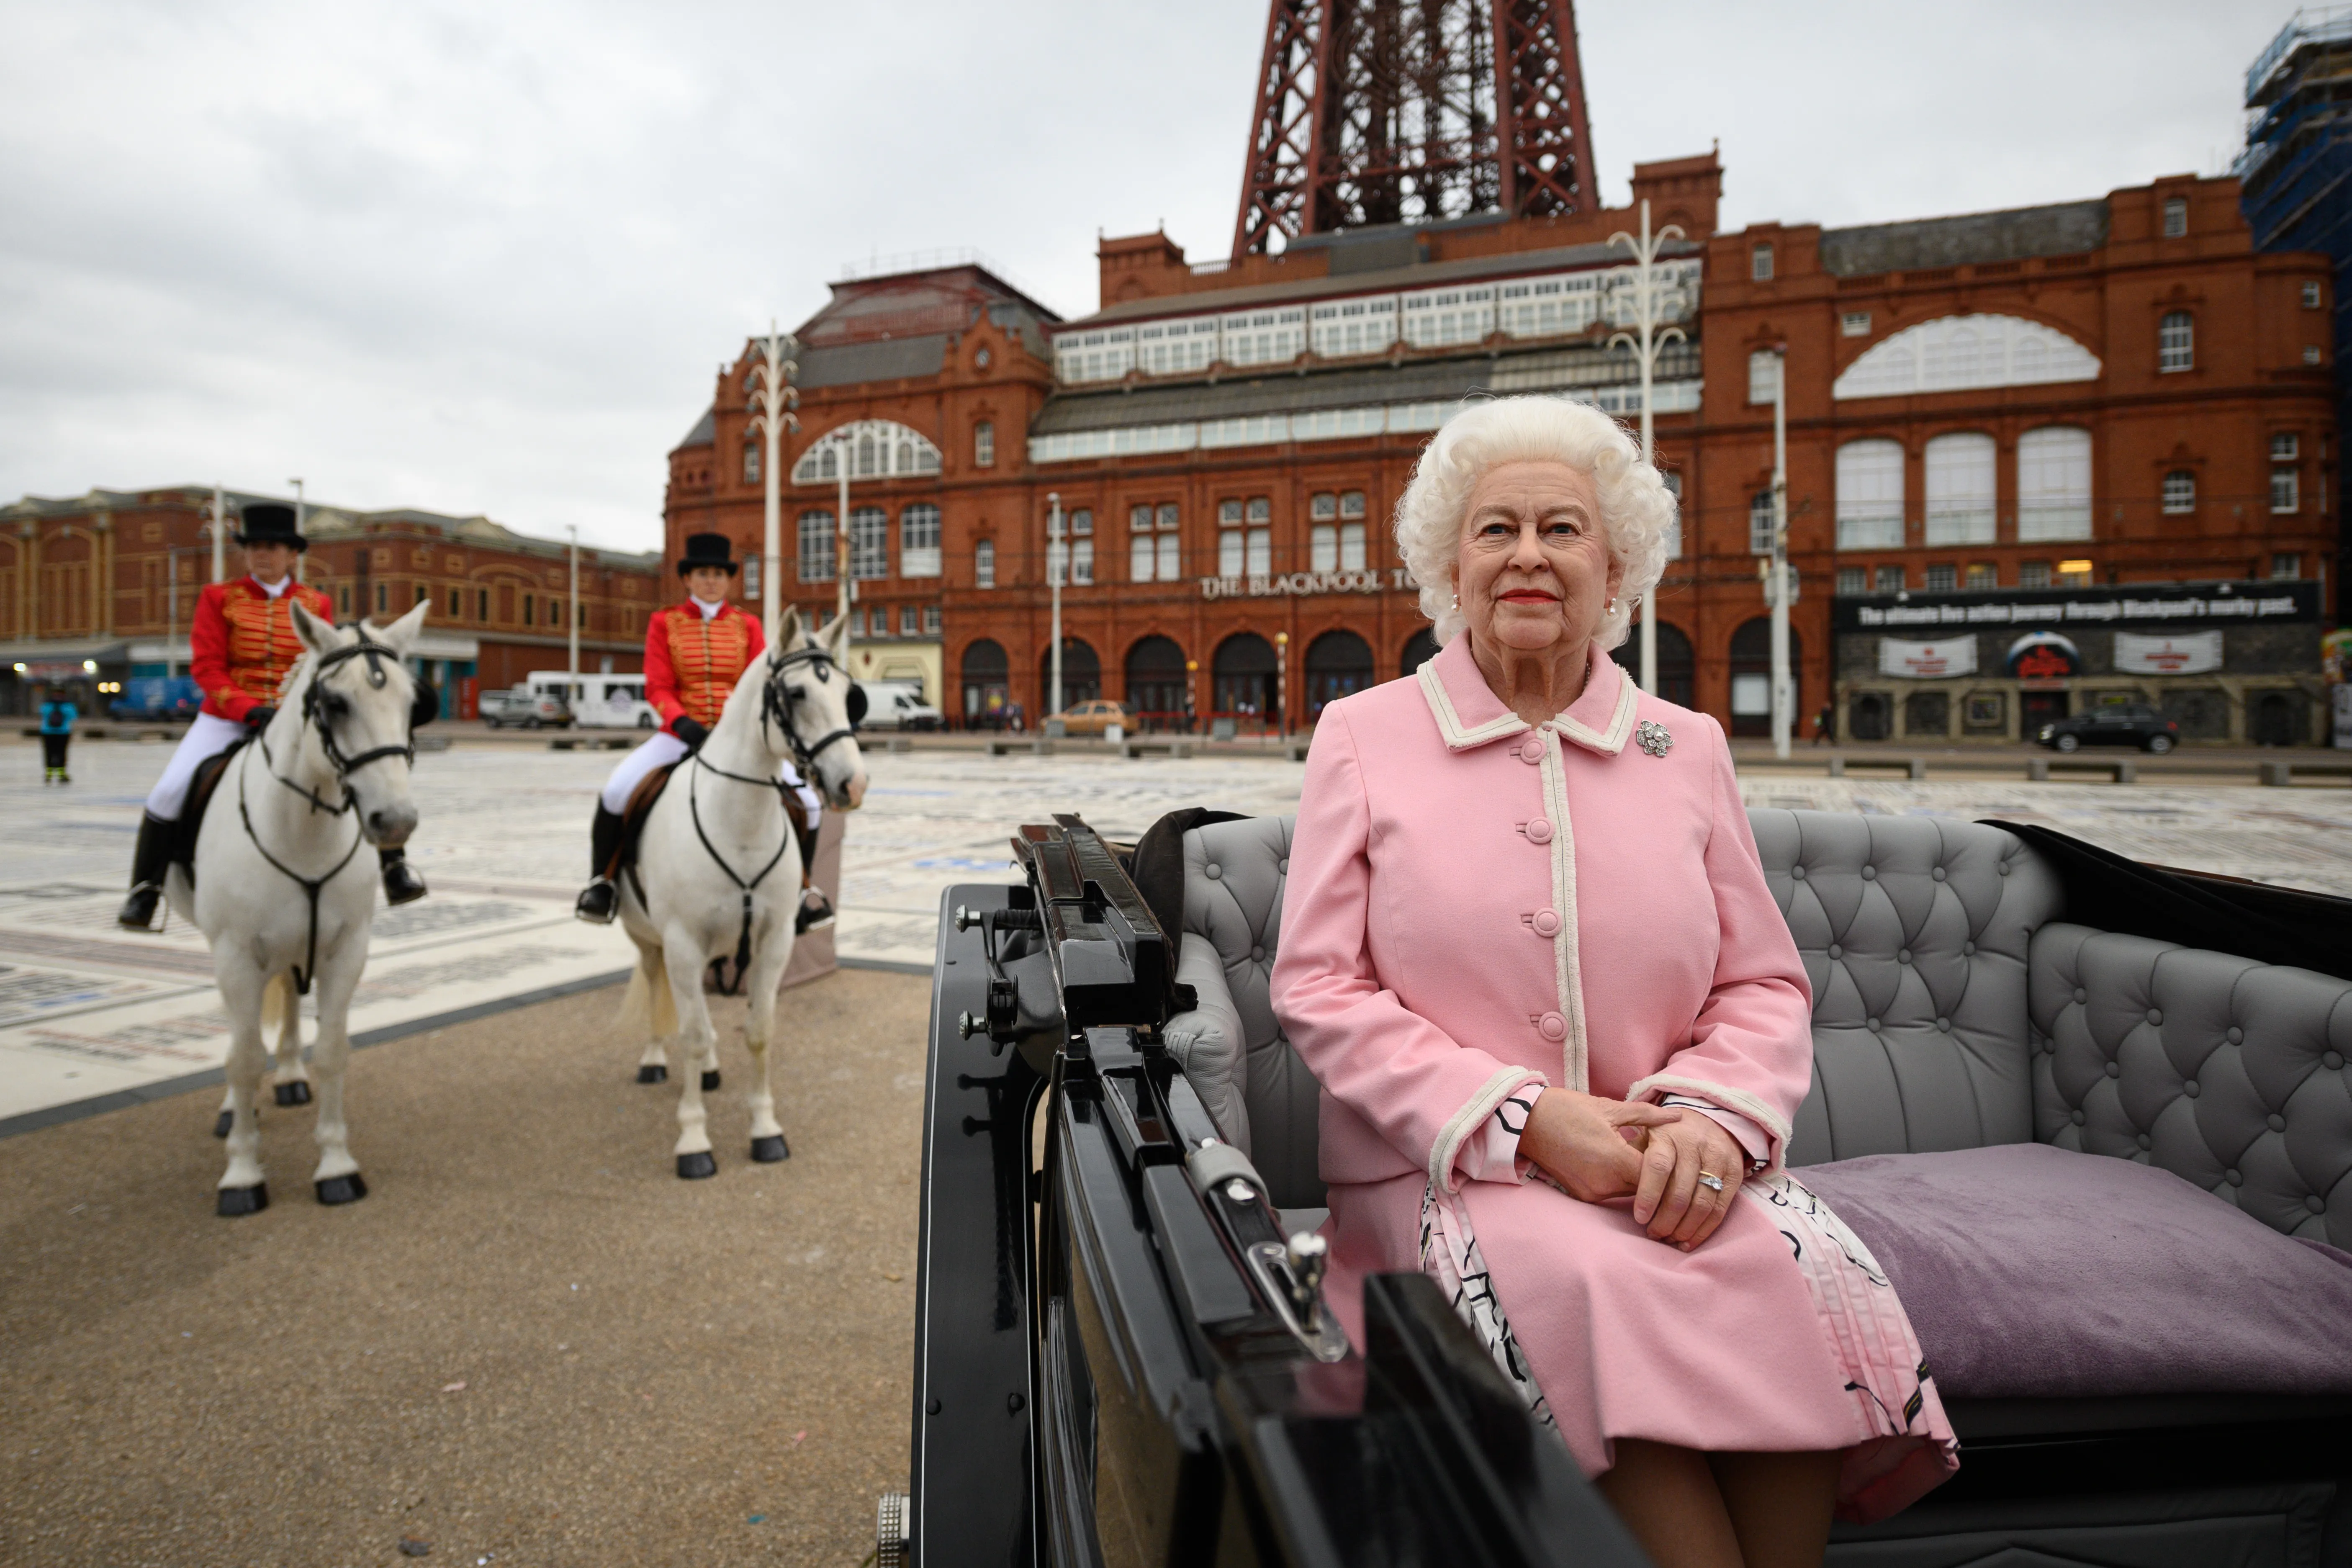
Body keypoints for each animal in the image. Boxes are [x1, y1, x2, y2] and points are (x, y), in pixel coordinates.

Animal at [177, 606, 432, 1222]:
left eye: (412, 702)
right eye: (334, 703)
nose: (396, 821)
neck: (302, 830)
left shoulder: (347, 947)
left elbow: (335, 1050)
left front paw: (337, 1165)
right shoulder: (235, 954)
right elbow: (243, 1057)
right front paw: (242, 1173)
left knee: (290, 997)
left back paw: (291, 1075)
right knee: (238, 1035)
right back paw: (235, 1109)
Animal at [621, 611, 870, 1175]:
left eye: (848, 694)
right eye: (796, 693)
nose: (854, 784)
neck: (740, 820)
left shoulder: (773, 940)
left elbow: (758, 1031)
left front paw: (765, 1128)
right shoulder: (682, 940)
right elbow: (690, 1034)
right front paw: (693, 1139)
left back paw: (712, 1068)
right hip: (647, 935)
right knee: (656, 984)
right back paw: (653, 1058)